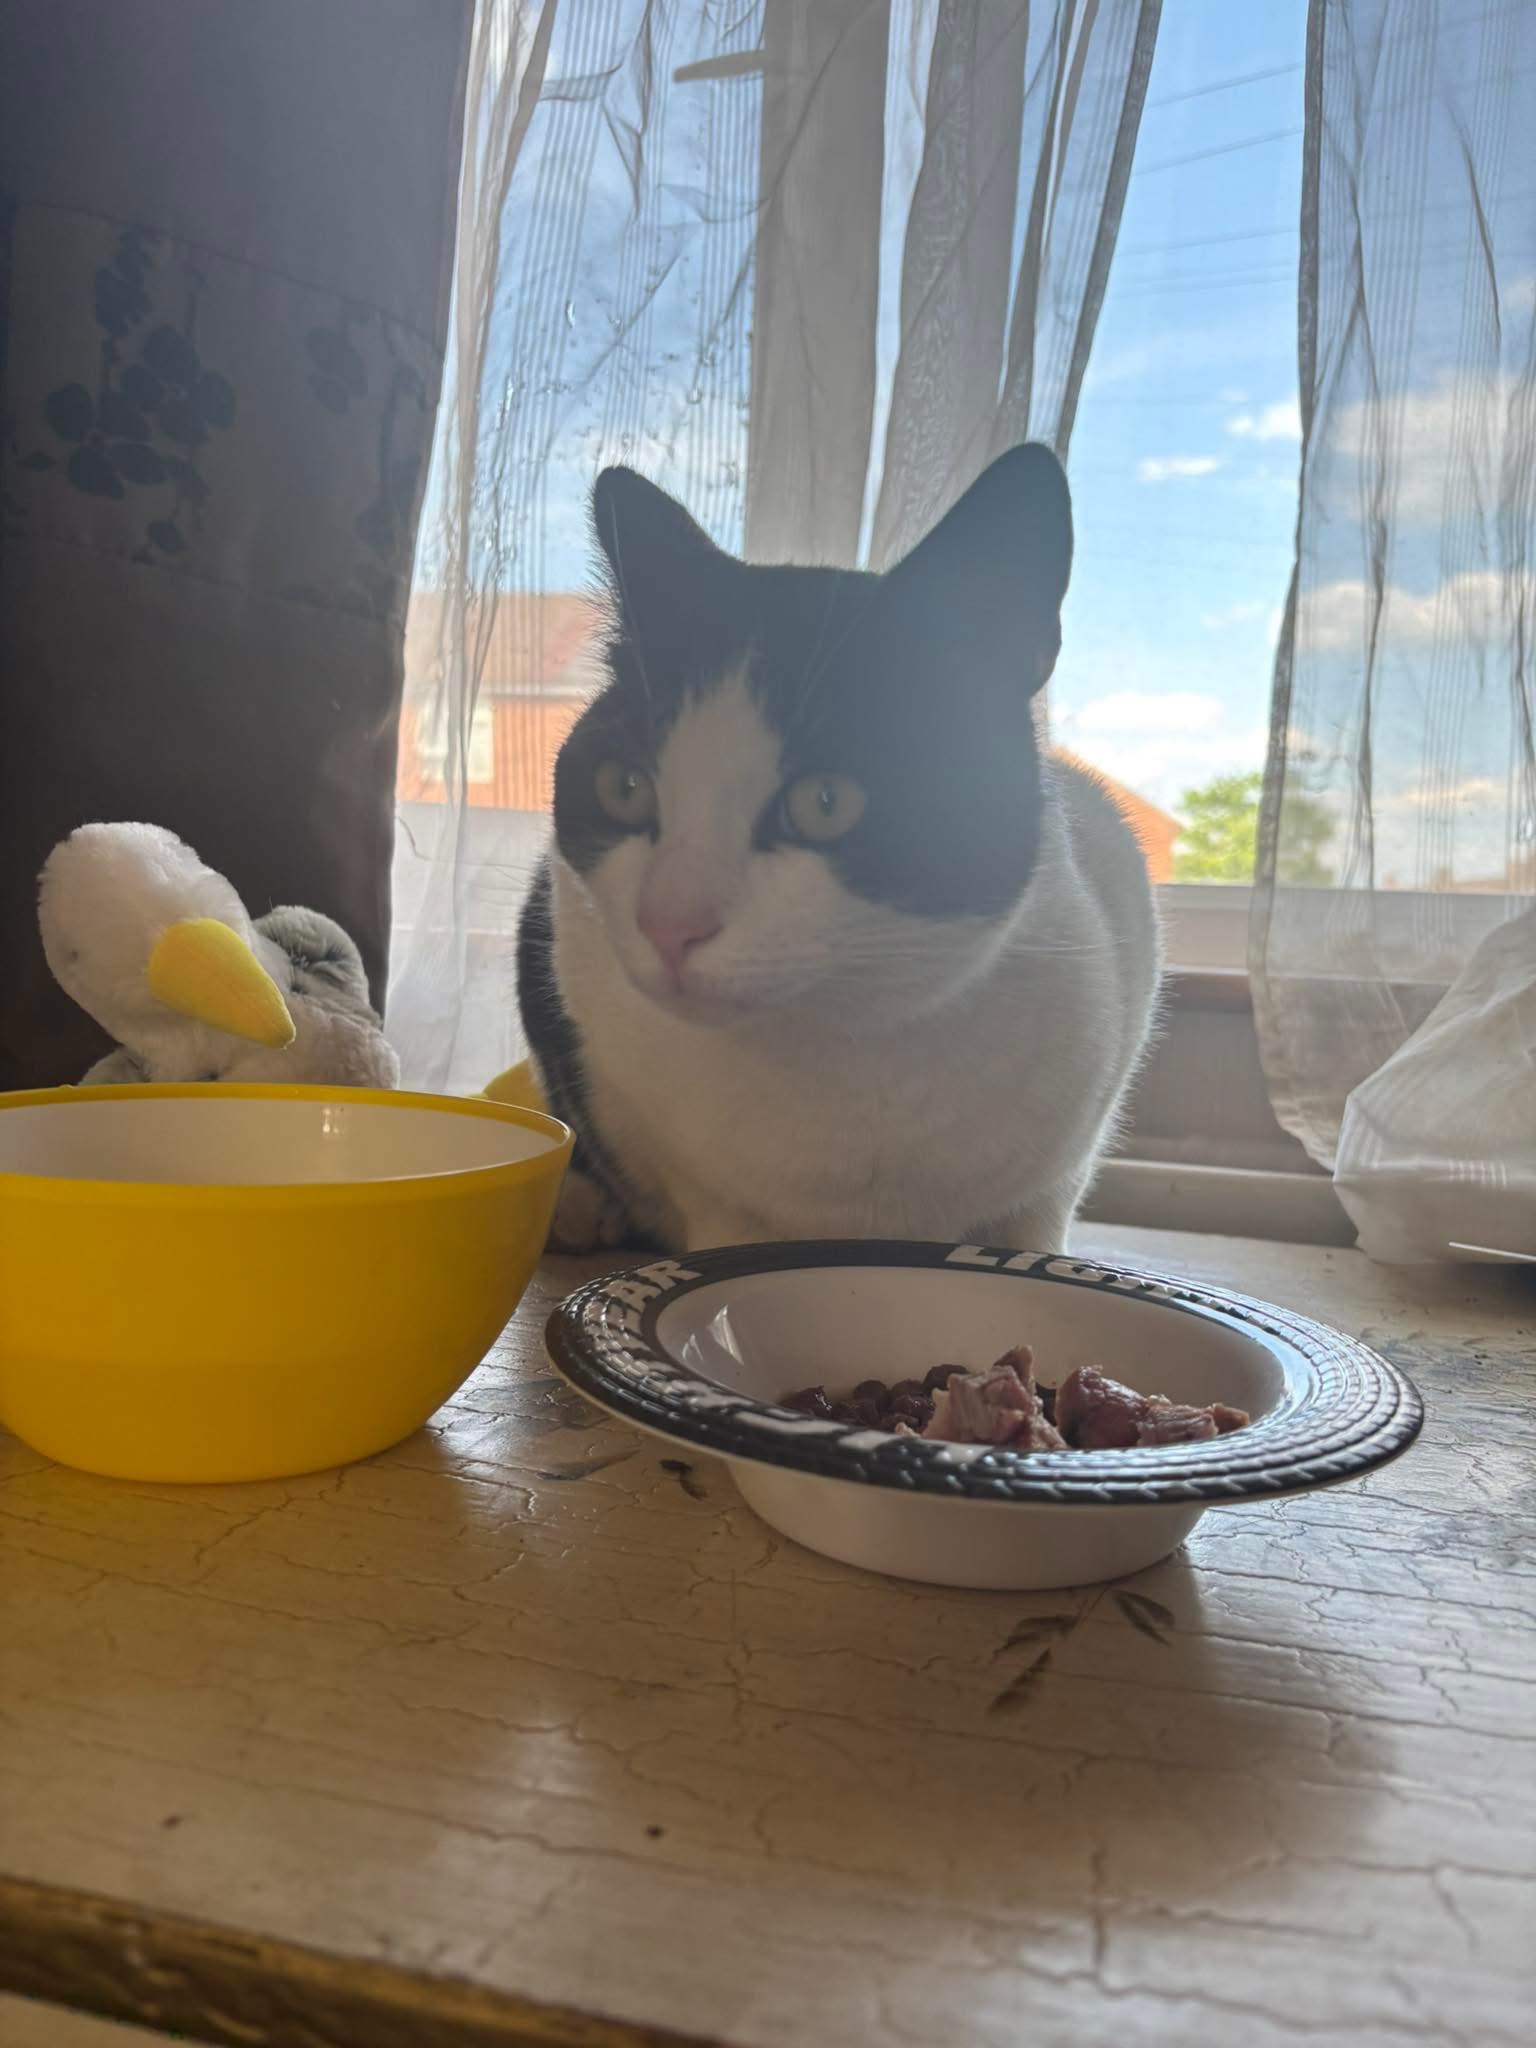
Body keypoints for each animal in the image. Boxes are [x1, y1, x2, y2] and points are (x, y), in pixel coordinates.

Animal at [517, 444, 1160, 1256]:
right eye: (624, 787)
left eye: (827, 802)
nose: (668, 924)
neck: (847, 1050)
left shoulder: (1064, 1155)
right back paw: (577, 1207)